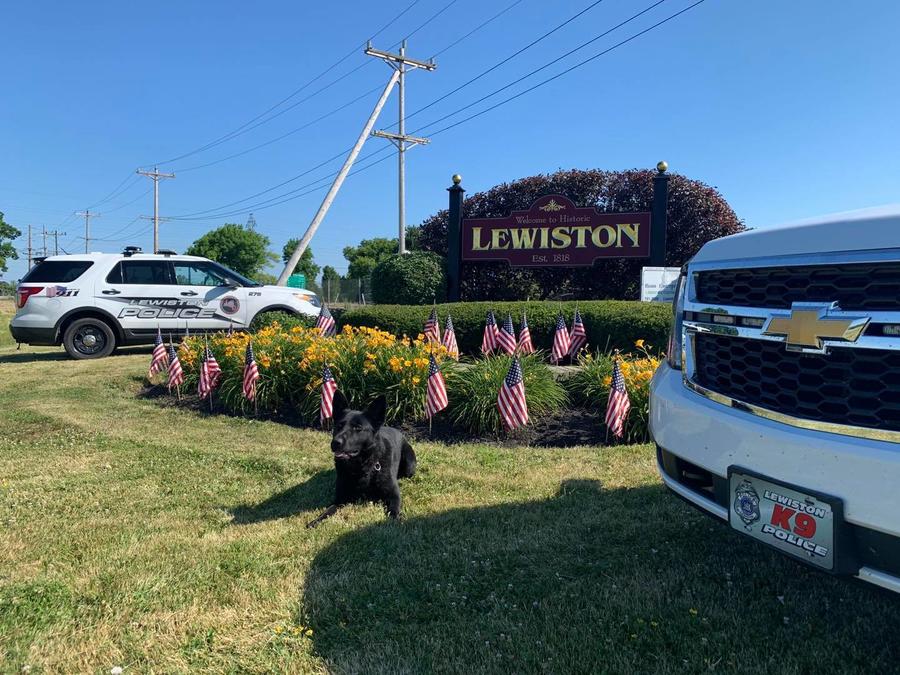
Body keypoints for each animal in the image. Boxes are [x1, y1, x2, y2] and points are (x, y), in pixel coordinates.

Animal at [306, 390, 418, 528]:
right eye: (339, 426)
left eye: (358, 428)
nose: (335, 443)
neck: (361, 466)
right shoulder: (340, 499)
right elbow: (328, 510)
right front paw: (316, 520)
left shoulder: (394, 495)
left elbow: (394, 511)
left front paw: (396, 521)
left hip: (409, 466)